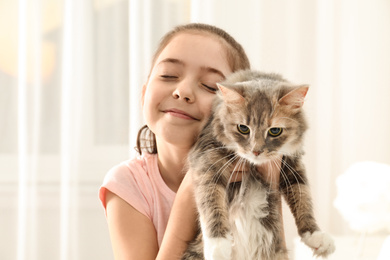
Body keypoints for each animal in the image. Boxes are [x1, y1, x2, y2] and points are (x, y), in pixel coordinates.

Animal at [181, 70, 334, 258]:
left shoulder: (292, 163)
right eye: (243, 128)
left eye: (275, 131)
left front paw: (315, 236)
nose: (256, 151)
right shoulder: (207, 159)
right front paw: (217, 247)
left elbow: (303, 197)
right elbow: (211, 201)